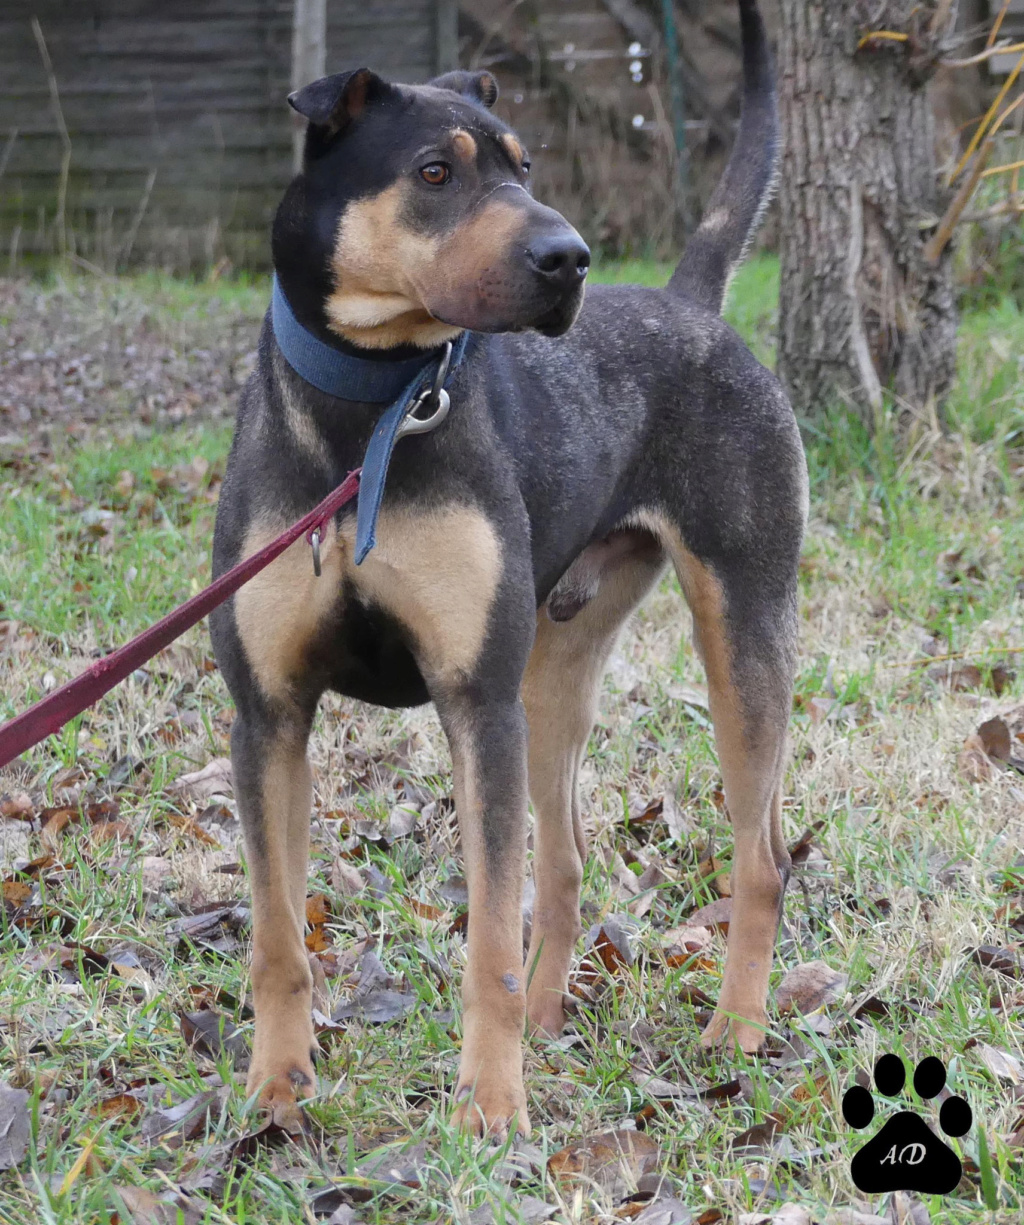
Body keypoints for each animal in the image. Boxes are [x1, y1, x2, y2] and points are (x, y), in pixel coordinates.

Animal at [211, 0, 808, 1136]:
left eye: (525, 166)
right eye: (436, 172)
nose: (569, 257)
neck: (373, 408)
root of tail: (693, 305)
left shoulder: (473, 700)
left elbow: (485, 930)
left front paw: (490, 1107)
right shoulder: (269, 714)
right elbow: (274, 934)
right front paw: (275, 1089)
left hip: (740, 631)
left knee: (759, 858)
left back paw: (737, 1029)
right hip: (552, 672)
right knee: (567, 861)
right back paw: (545, 1020)